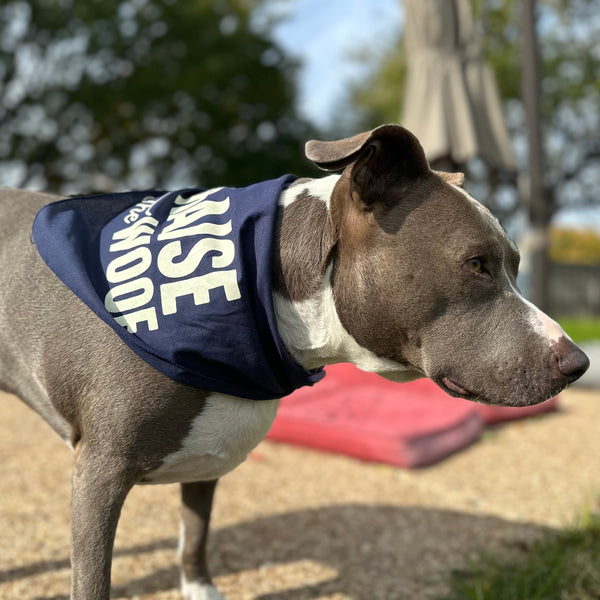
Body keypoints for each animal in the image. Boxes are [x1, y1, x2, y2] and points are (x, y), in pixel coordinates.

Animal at [0, 124, 592, 596]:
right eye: (476, 264)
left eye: (514, 265)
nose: (579, 362)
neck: (260, 286)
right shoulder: (99, 474)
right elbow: (92, 577)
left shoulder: (208, 455)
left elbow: (195, 537)